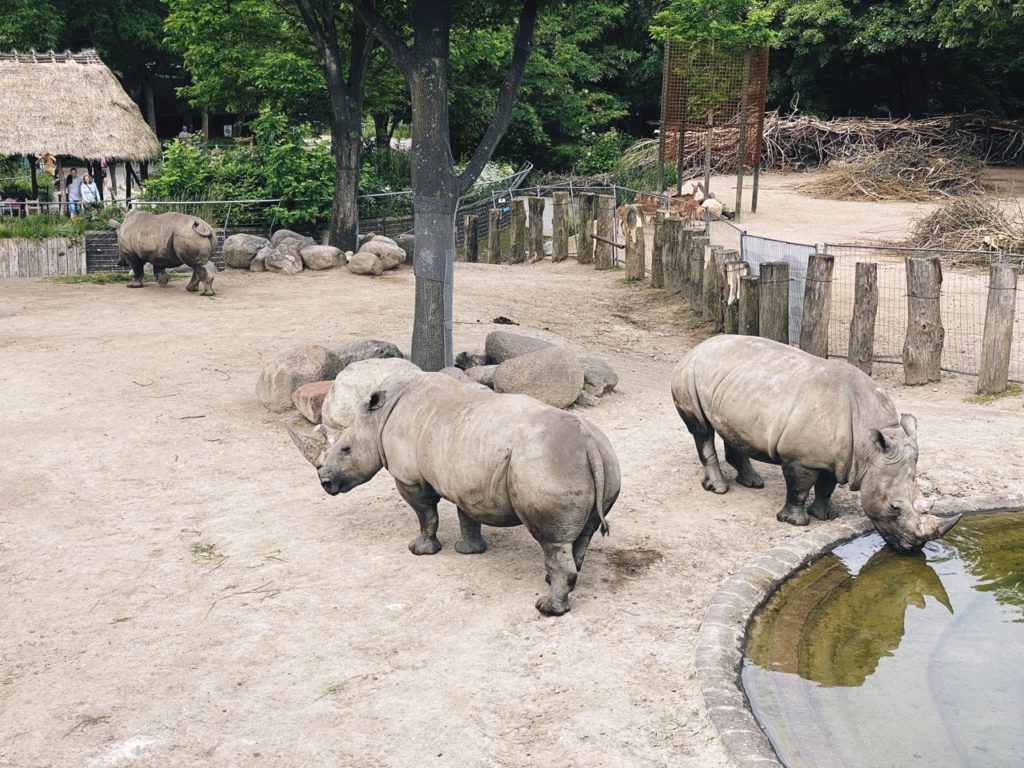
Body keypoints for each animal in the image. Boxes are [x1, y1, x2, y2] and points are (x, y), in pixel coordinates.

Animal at [288, 372, 621, 616]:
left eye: (345, 450)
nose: (325, 483)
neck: (378, 419)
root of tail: (588, 443)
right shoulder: (466, 478)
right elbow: (467, 515)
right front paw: (469, 551)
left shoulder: (409, 477)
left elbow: (426, 514)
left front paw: (420, 550)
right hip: (603, 460)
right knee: (580, 535)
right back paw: (554, 584)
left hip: (545, 464)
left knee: (553, 541)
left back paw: (547, 609)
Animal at [671, 335, 960, 553]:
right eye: (894, 507)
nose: (912, 549)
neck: (870, 445)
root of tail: (698, 347)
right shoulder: (802, 459)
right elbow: (799, 487)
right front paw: (794, 523)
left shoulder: (839, 459)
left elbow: (826, 486)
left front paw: (826, 516)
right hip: (689, 375)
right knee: (702, 431)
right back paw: (720, 489)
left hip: (732, 385)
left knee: (731, 429)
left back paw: (753, 482)